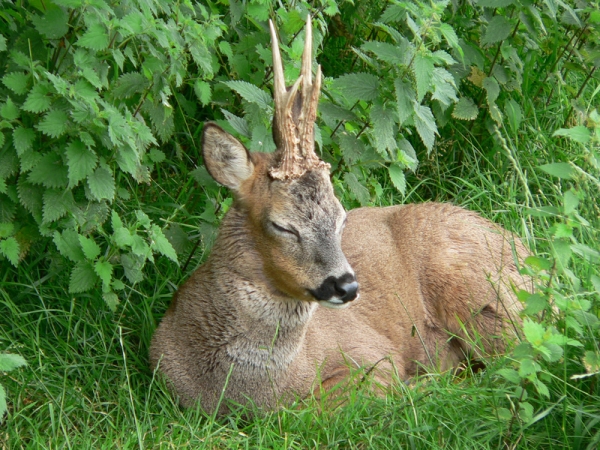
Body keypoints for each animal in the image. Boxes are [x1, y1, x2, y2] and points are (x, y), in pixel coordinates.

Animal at [149, 15, 528, 414]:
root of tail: (524, 249)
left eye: (341, 217)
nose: (346, 286)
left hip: (481, 293)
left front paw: (426, 385)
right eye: (282, 226)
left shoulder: (374, 356)